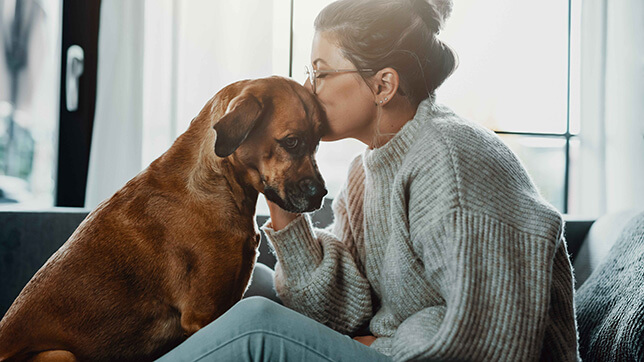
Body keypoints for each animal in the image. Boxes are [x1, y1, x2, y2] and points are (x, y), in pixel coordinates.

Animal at [0, 75, 328, 360]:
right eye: (291, 142)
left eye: (317, 143)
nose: (322, 194)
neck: (219, 185)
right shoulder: (205, 315)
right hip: (60, 354)